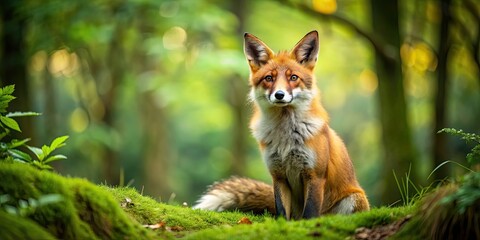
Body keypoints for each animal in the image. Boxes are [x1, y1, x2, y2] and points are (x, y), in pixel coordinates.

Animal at [193, 30, 370, 219]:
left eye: (293, 77)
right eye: (269, 78)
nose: (279, 94)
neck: (286, 135)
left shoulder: (314, 175)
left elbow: (310, 213)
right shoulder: (278, 176)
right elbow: (281, 213)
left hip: (353, 199)